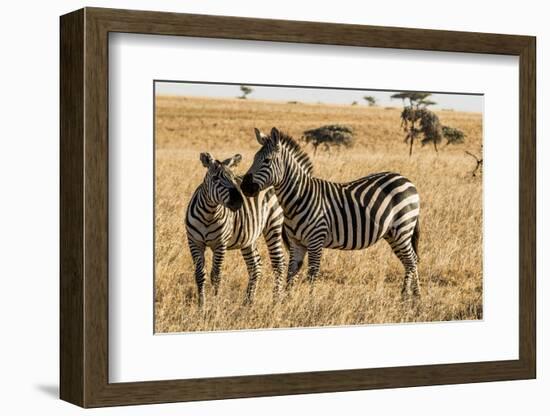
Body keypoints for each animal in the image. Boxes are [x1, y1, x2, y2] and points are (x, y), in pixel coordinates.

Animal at [187, 152, 286, 306]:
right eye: (215, 178)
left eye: (233, 178)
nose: (239, 201)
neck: (208, 215)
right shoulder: (194, 242)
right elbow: (199, 274)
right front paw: (201, 305)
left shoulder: (220, 245)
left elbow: (216, 275)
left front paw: (214, 305)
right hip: (248, 238)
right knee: (255, 266)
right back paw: (248, 302)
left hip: (274, 225)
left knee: (278, 264)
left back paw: (276, 301)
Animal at [243, 127, 422, 300]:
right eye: (254, 158)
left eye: (267, 160)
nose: (245, 186)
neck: (299, 198)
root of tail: (406, 180)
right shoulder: (296, 243)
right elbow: (291, 273)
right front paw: (286, 301)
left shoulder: (316, 241)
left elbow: (312, 274)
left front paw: (310, 302)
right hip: (393, 233)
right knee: (411, 260)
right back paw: (414, 295)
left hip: (403, 228)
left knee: (411, 261)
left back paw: (406, 296)